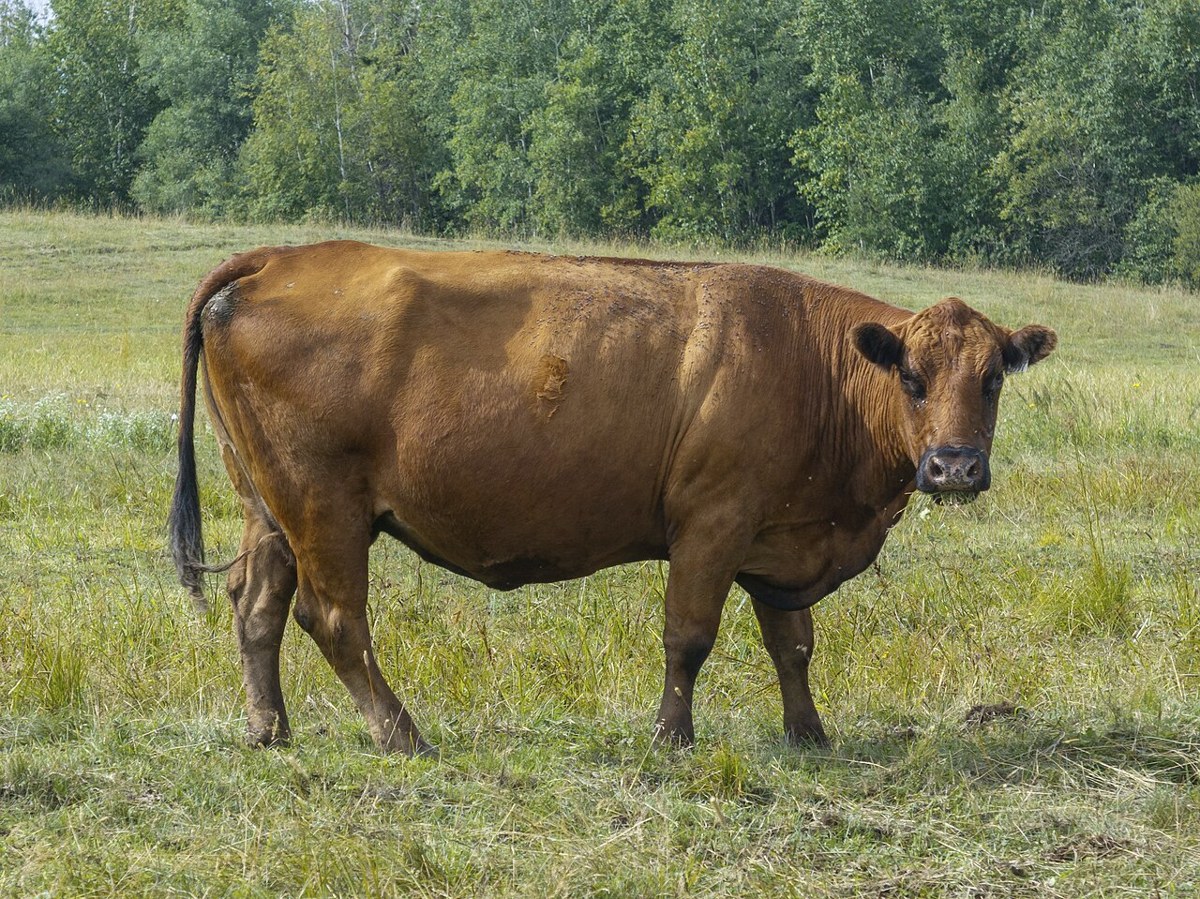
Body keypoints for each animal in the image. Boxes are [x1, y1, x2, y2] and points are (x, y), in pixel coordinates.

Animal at [168, 241, 1056, 756]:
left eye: (991, 377)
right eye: (911, 376)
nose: (953, 467)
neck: (812, 362)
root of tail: (279, 258)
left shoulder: (777, 536)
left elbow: (793, 643)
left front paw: (809, 733)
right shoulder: (712, 524)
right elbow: (689, 637)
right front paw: (672, 736)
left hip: (269, 507)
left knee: (256, 604)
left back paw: (269, 729)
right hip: (326, 509)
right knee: (334, 620)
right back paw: (402, 734)